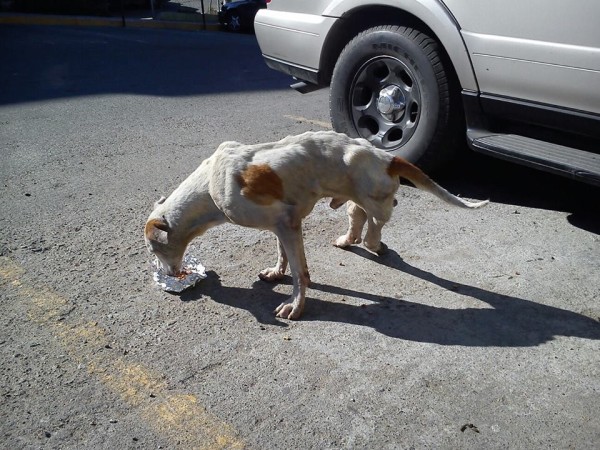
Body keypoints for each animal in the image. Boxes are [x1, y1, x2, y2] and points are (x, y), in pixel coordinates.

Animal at [145, 130, 488, 320]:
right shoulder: (280, 226)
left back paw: (373, 243)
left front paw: (295, 305)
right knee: (357, 216)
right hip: (354, 196)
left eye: (153, 249)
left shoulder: (288, 223)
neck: (209, 184)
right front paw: (276, 273)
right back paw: (349, 239)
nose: (167, 274)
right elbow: (283, 255)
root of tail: (386, 158)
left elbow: (301, 273)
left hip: (376, 200)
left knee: (374, 226)